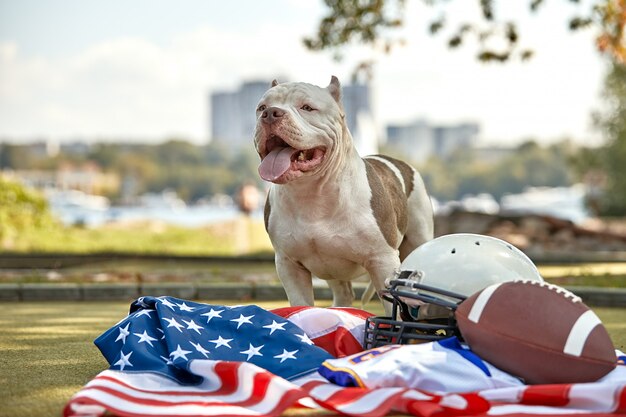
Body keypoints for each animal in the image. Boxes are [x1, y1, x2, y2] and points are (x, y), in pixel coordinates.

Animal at [251, 75, 432, 308]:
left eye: (307, 107)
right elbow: (302, 304)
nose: (271, 113)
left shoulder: (383, 261)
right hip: (331, 269)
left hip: (420, 236)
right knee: (343, 293)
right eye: (261, 108)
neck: (312, 193)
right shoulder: (289, 265)